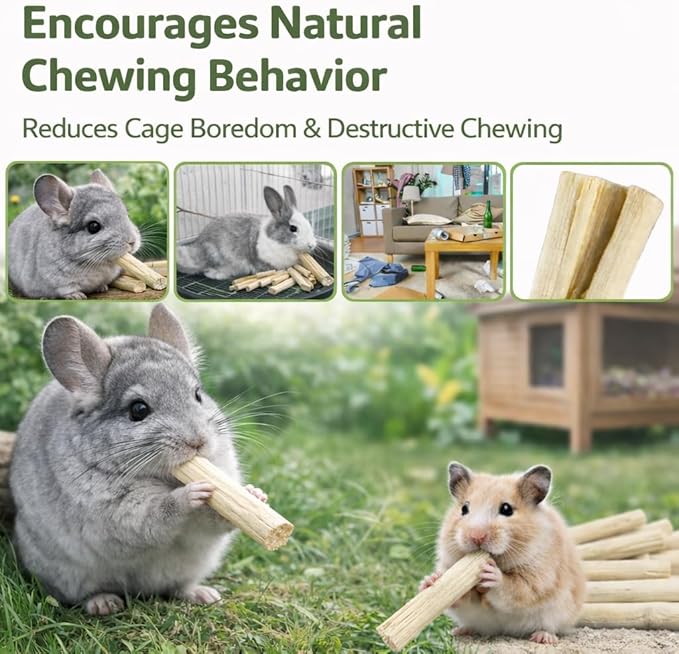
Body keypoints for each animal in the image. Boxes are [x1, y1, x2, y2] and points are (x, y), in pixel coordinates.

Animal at [8, 169, 141, 299]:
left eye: (127, 215)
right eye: (94, 226)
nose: (132, 241)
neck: (93, 263)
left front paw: (102, 288)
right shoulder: (58, 281)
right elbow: (67, 289)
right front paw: (77, 296)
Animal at [9, 304, 269, 615]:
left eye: (197, 394)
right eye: (138, 410)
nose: (197, 442)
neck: (167, 477)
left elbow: (219, 517)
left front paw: (255, 495)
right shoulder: (117, 515)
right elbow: (157, 513)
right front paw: (192, 493)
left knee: (177, 588)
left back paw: (202, 594)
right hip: (66, 575)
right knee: (84, 595)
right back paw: (104, 603)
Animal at [420, 462, 585, 645]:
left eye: (506, 509)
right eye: (464, 508)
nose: (476, 536)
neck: (500, 559)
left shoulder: (540, 577)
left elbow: (517, 587)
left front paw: (491, 574)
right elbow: (459, 597)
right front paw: (430, 580)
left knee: (551, 628)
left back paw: (543, 638)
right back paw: (460, 631)